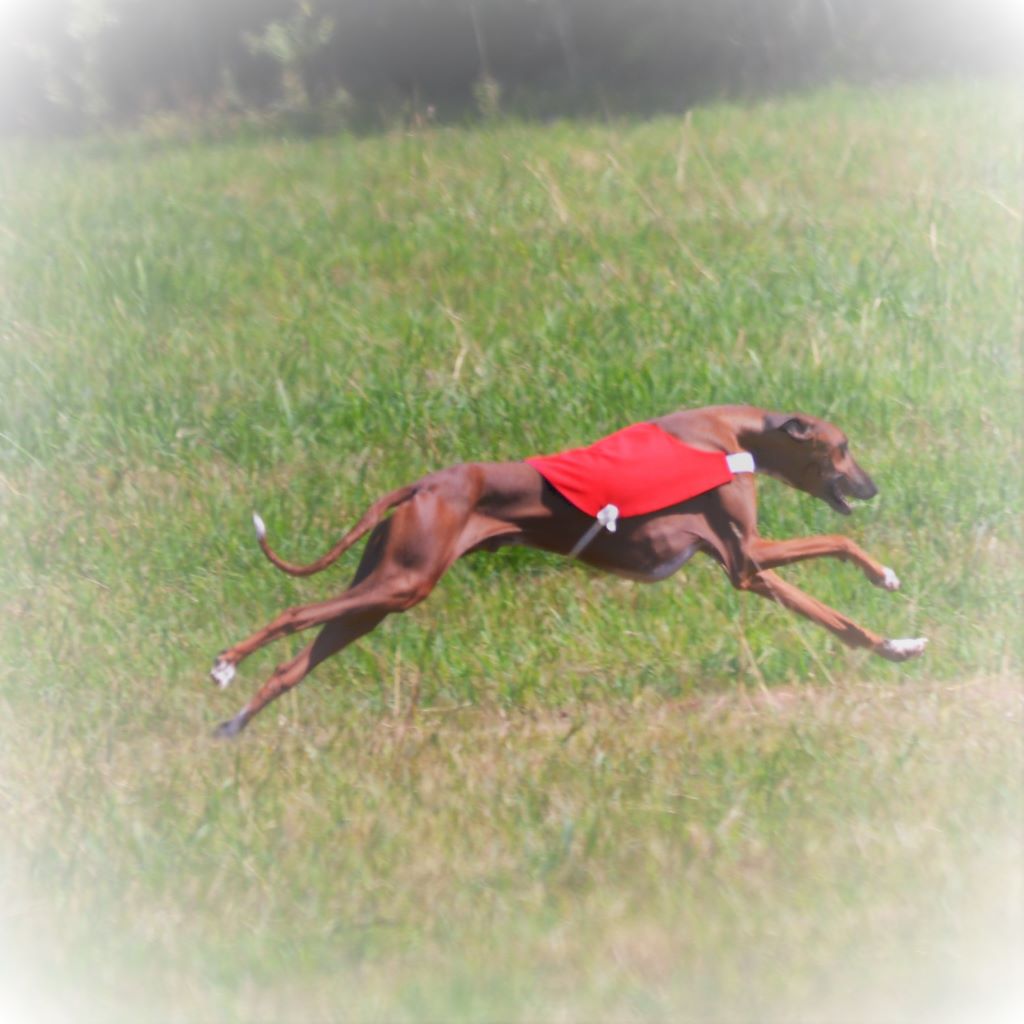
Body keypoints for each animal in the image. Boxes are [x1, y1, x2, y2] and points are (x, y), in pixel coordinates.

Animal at [209, 405, 926, 737]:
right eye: (842, 448)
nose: (873, 486)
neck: (733, 434)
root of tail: (423, 484)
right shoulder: (747, 558)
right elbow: (838, 548)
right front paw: (887, 585)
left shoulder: (744, 567)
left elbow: (838, 611)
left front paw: (899, 642)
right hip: (400, 583)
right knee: (293, 611)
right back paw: (224, 663)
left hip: (382, 594)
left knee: (294, 663)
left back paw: (235, 722)